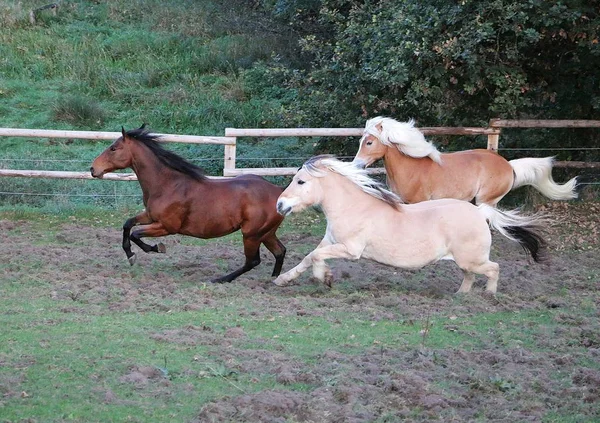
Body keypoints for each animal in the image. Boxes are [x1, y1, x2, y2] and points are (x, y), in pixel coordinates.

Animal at [89, 126, 286, 284]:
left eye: (113, 148)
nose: (93, 169)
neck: (167, 184)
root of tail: (278, 191)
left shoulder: (168, 226)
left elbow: (135, 234)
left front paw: (156, 248)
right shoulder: (150, 216)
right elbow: (127, 224)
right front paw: (131, 255)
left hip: (251, 234)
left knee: (253, 261)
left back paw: (221, 279)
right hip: (266, 233)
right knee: (280, 251)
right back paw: (275, 279)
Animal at [274, 156, 548, 294]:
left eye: (300, 181)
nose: (279, 204)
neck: (353, 207)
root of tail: (480, 212)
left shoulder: (351, 250)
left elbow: (316, 257)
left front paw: (324, 278)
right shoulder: (330, 241)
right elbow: (309, 256)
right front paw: (283, 280)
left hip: (473, 259)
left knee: (494, 269)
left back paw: (489, 295)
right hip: (466, 260)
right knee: (470, 276)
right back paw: (460, 295)